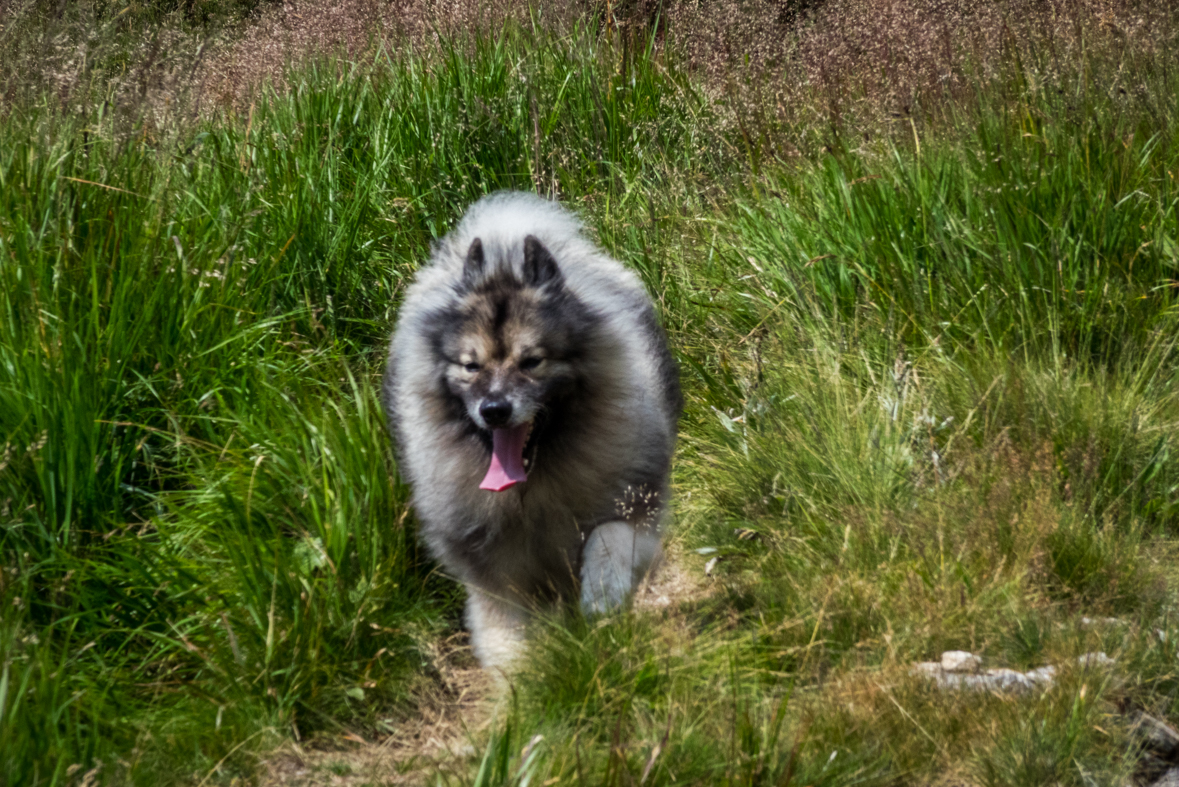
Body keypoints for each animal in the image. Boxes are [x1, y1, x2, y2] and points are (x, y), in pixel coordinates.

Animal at [384, 192, 683, 669]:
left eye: (532, 362)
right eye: (471, 366)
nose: (494, 410)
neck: (533, 486)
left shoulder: (638, 505)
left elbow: (609, 537)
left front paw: (602, 593)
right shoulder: (491, 569)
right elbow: (502, 627)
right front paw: (519, 675)